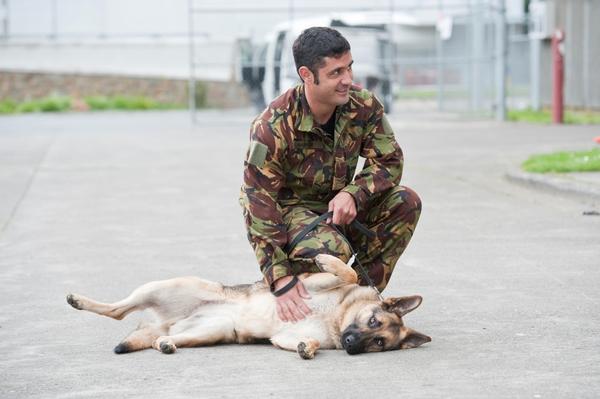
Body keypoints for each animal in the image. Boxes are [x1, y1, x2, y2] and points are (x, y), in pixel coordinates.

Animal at [67, 256, 432, 362]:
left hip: (209, 331)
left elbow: (306, 342)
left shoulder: (284, 337)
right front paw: (328, 258)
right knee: (117, 310)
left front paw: (308, 348)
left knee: (158, 338)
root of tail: (168, 323)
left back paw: (166, 343)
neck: (335, 317)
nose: (352, 345)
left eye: (379, 342)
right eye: (371, 321)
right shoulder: (313, 284)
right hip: (162, 288)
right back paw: (80, 301)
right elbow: (349, 272)